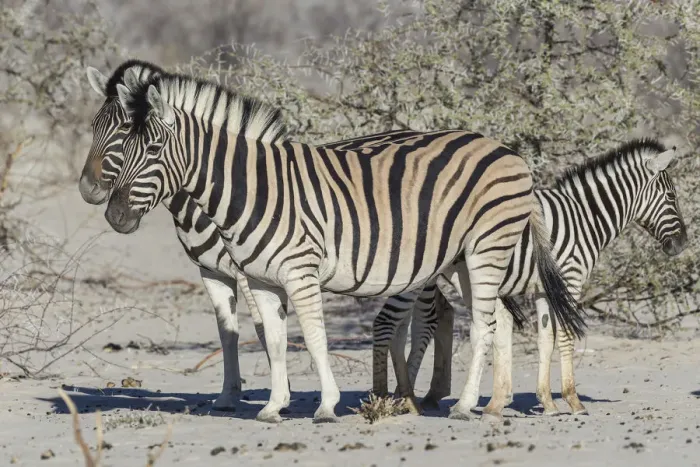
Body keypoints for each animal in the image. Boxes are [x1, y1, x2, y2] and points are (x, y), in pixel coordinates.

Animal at [99, 70, 585, 423]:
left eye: (154, 149)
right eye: (122, 150)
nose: (114, 216)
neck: (251, 189)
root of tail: (510, 152)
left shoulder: (300, 270)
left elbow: (314, 337)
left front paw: (326, 405)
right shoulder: (261, 280)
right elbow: (276, 341)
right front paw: (273, 407)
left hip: (487, 248)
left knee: (483, 325)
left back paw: (465, 406)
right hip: (465, 259)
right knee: (498, 319)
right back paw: (494, 404)